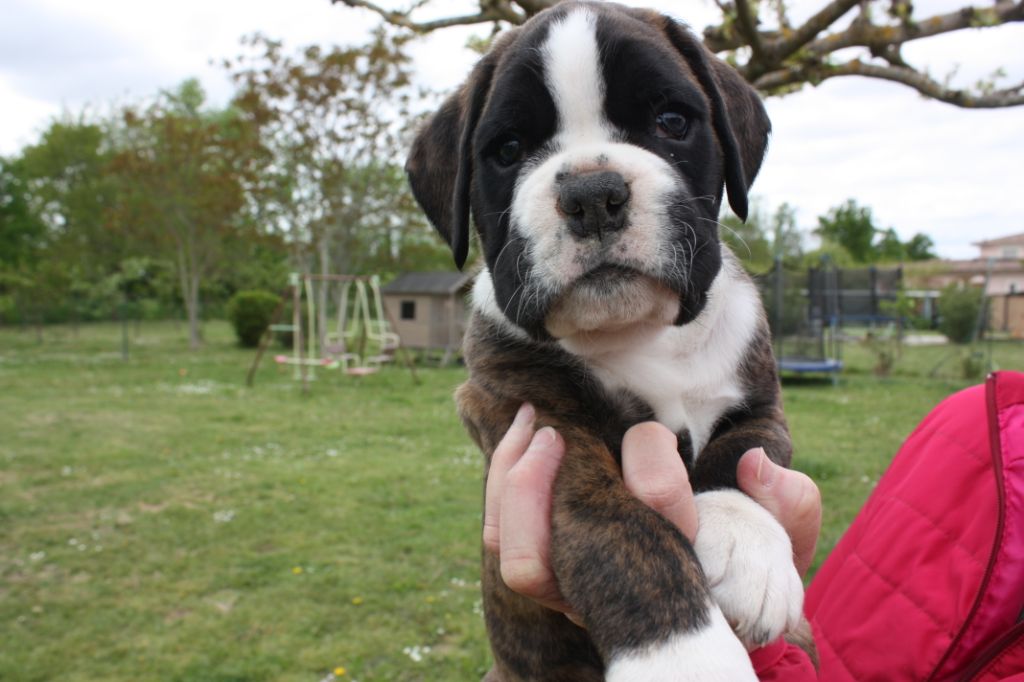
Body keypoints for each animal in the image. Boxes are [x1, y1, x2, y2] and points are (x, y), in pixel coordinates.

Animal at [405, 2, 798, 675]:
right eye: (508, 149)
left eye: (672, 121)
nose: (592, 195)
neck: (640, 333)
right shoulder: (533, 422)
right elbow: (613, 525)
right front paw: (683, 656)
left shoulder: (760, 401)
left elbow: (745, 453)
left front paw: (748, 545)